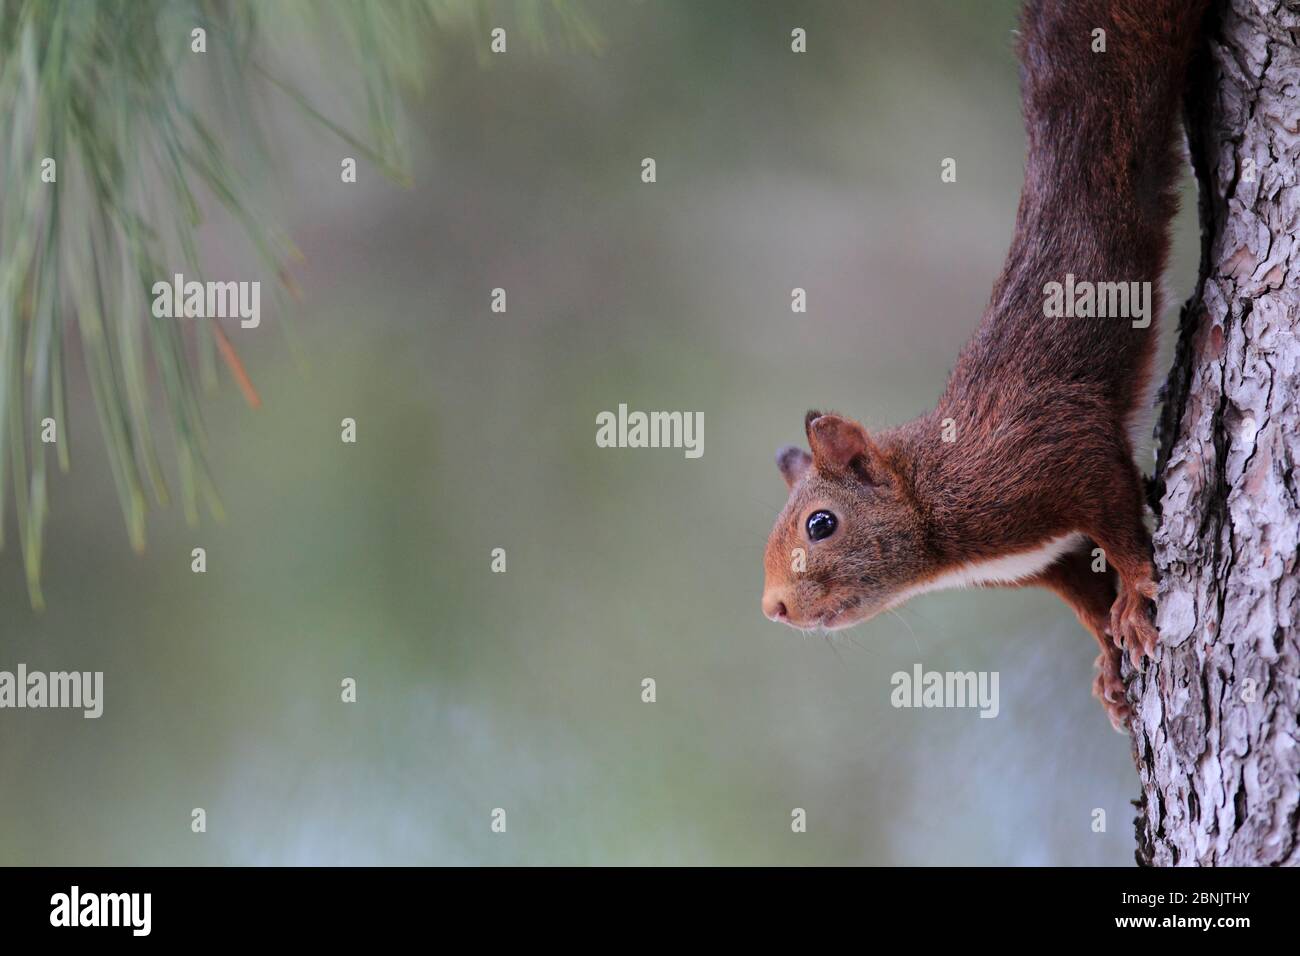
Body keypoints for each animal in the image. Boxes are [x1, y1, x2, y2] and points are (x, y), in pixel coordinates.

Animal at [759, 0, 1206, 728]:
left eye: (820, 524)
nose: (773, 608)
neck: (933, 496)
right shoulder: (1048, 556)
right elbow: (1085, 594)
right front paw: (1108, 662)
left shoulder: (1054, 449)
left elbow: (1120, 523)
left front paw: (1138, 596)